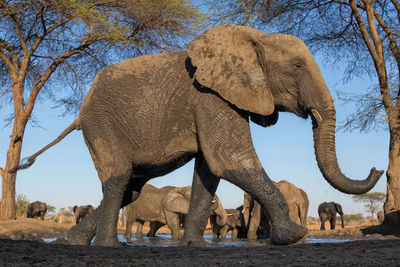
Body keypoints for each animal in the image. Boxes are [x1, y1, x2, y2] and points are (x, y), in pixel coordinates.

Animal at [16, 24, 384, 247]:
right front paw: (292, 236)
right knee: (119, 180)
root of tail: (80, 113)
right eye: (296, 68)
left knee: (130, 188)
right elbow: (229, 158)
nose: (377, 168)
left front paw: (193, 245)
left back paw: (73, 242)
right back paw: (108, 247)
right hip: (102, 124)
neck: (253, 37)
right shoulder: (209, 96)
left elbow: (209, 170)